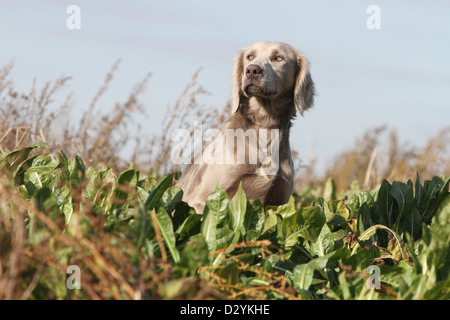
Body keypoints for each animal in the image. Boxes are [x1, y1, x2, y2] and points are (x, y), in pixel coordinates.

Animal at [174, 41, 314, 214]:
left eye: (278, 58)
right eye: (250, 57)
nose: (252, 70)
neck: (265, 126)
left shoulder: (279, 202)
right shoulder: (201, 201)